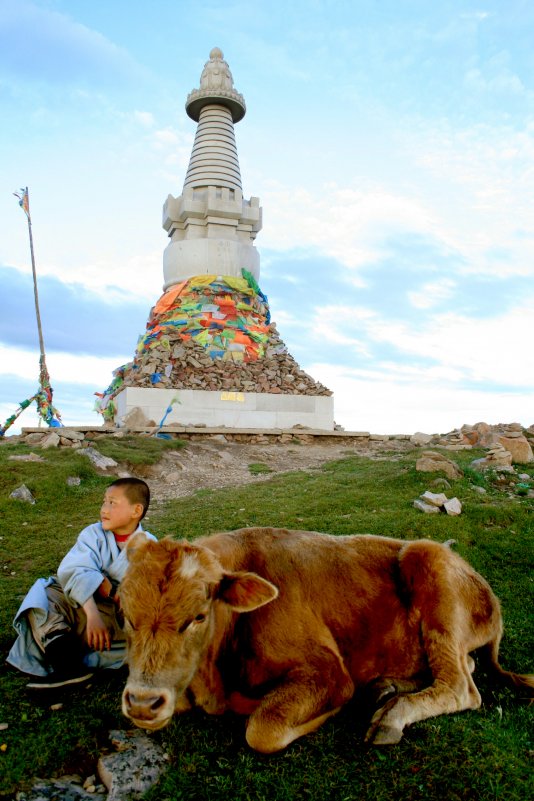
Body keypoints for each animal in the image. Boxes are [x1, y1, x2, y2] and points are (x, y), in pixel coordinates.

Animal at [119, 524, 532, 752]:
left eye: (198, 616)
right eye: (125, 614)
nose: (142, 703)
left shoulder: (329, 672)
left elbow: (263, 728)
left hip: (429, 564)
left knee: (460, 685)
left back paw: (390, 715)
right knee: (466, 665)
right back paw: (384, 687)